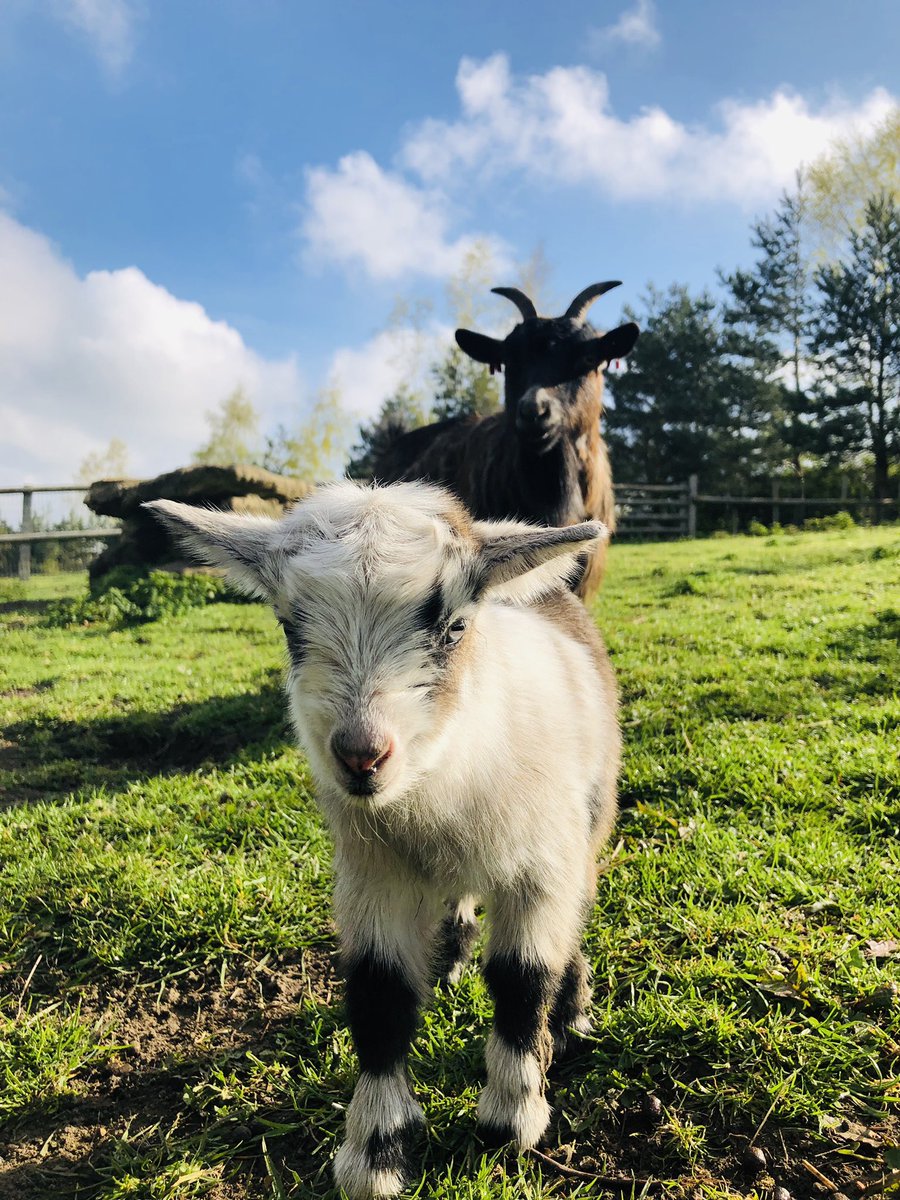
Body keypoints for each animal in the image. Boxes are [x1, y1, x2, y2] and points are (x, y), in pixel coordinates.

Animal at [146, 481, 620, 1200]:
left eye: (454, 626)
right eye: (289, 627)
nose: (361, 756)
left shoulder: (539, 865)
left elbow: (520, 979)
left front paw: (509, 1120)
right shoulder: (373, 875)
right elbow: (379, 997)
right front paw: (376, 1152)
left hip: (591, 816)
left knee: (574, 918)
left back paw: (567, 1016)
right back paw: (450, 958)